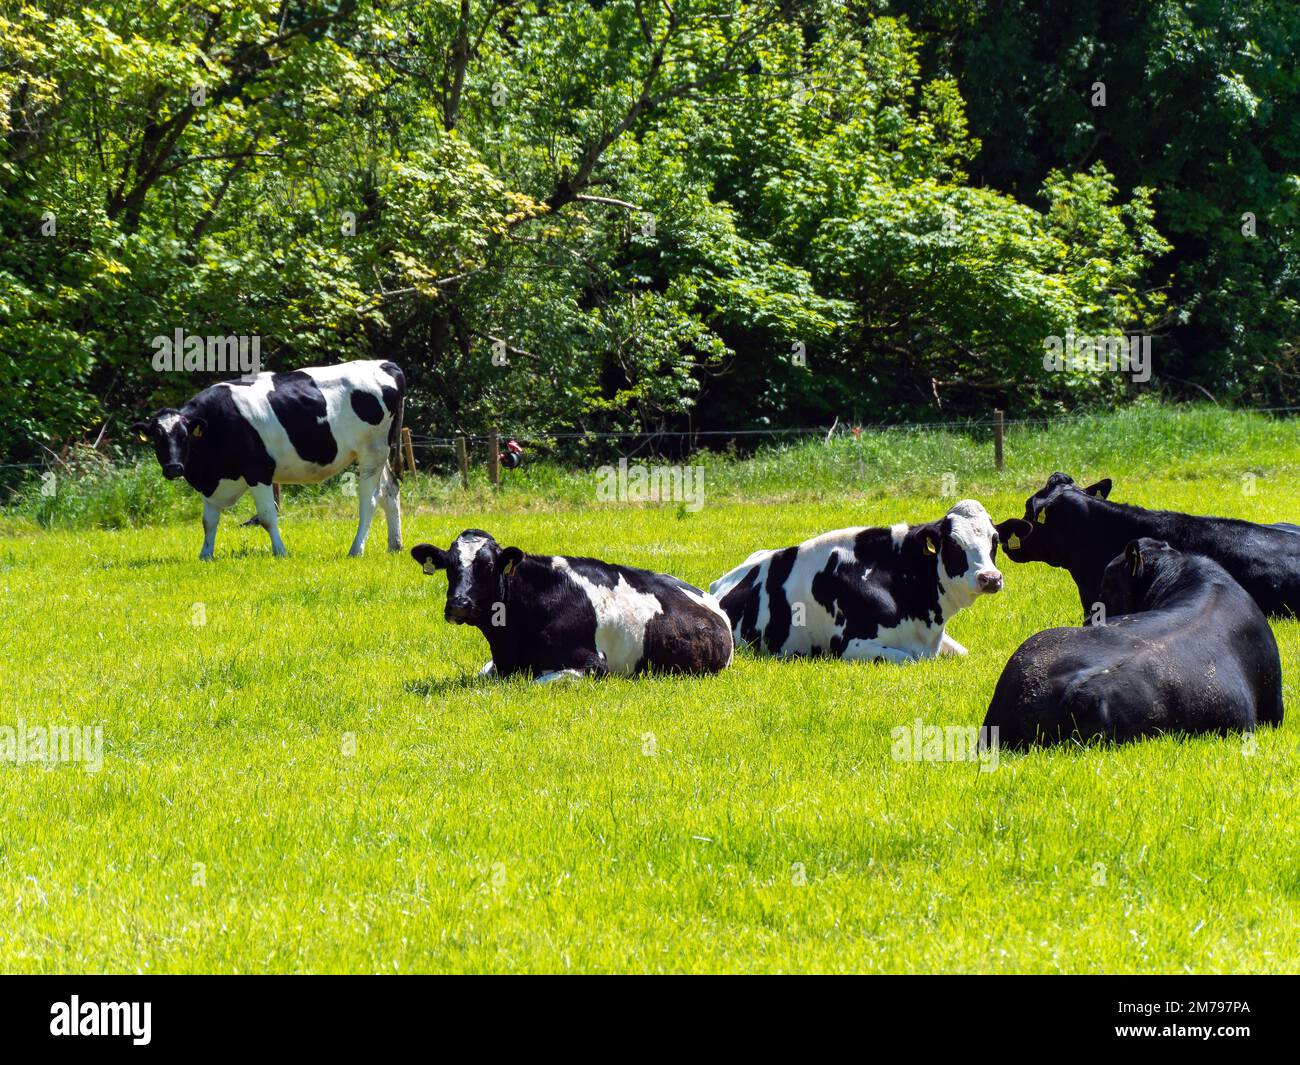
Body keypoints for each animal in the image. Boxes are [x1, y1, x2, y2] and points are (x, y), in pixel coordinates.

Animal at [134, 361, 403, 559]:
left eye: (183, 436)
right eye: (157, 439)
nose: (173, 468)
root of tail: (385, 364)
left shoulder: (258, 472)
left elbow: (266, 516)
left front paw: (280, 551)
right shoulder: (213, 484)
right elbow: (208, 521)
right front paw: (205, 555)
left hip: (371, 452)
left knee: (369, 501)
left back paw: (356, 549)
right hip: (380, 453)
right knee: (390, 491)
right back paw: (395, 545)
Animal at [707, 501, 1029, 665]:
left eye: (995, 540)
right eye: (953, 544)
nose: (990, 578)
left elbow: (963, 653)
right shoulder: (850, 646)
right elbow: (910, 660)